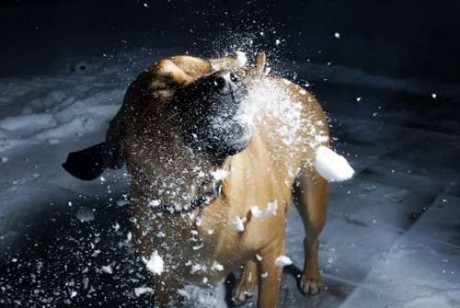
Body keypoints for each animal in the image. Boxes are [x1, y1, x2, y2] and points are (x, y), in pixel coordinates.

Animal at [63, 51, 330, 306]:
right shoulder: (165, 283)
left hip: (312, 196)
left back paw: (311, 276)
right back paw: (246, 283)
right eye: (164, 86)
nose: (229, 79)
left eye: (210, 68)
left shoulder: (272, 253)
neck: (195, 200)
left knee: (311, 240)